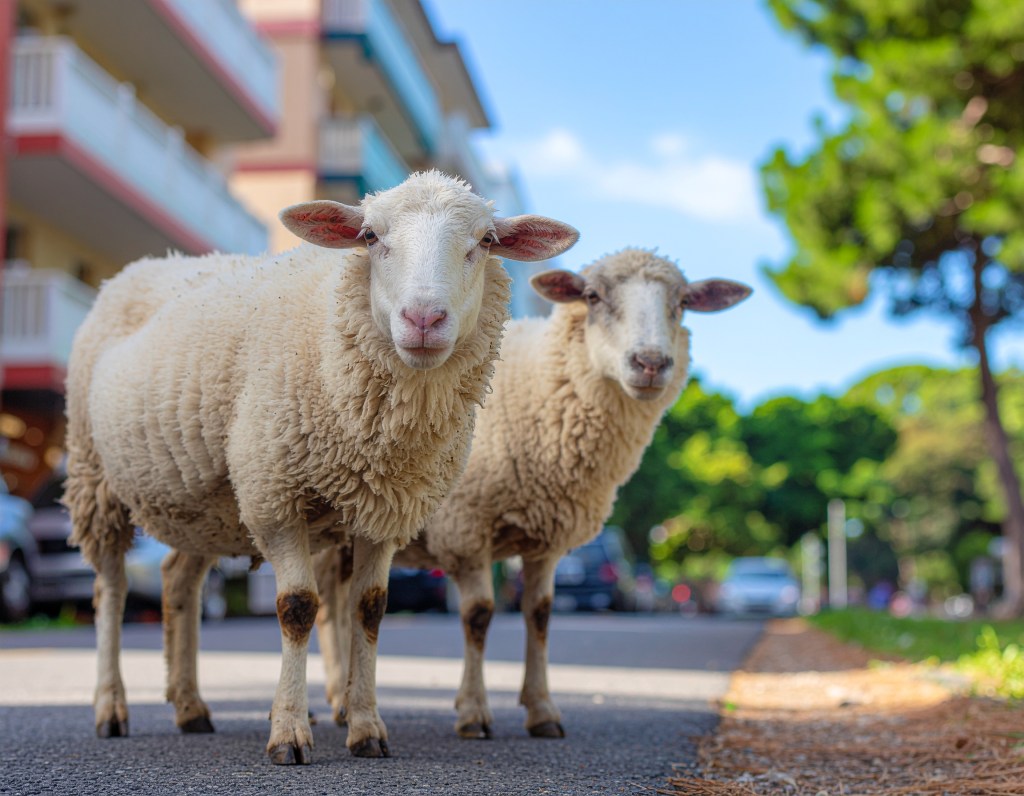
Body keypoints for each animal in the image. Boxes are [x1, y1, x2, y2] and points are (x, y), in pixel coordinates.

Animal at [62, 170, 579, 765]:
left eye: (486, 242)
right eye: (371, 237)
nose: (424, 319)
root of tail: (135, 268)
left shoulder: (385, 512)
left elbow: (370, 610)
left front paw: (366, 727)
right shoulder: (274, 497)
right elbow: (298, 607)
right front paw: (289, 732)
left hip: (204, 504)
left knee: (178, 583)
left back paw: (190, 707)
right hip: (95, 477)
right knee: (110, 590)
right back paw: (111, 708)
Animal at [315, 248, 751, 739]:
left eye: (684, 302)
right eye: (592, 296)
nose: (651, 363)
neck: (543, 387)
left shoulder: (547, 541)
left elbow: (540, 614)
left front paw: (542, 709)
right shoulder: (467, 529)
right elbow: (480, 614)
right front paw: (473, 711)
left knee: (339, 603)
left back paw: (344, 701)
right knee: (328, 607)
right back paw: (339, 703)